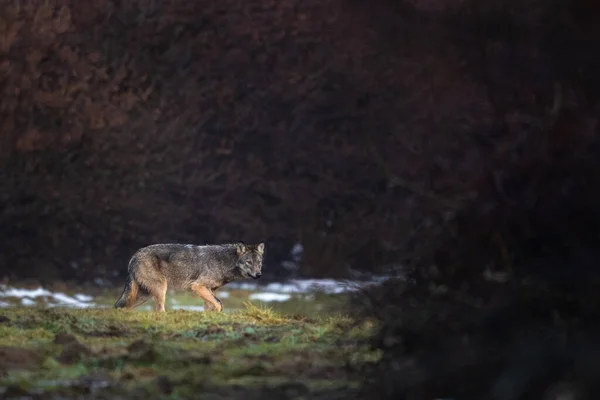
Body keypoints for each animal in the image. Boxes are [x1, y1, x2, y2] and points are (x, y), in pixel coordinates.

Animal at [113, 241, 264, 312]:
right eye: (249, 262)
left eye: (259, 263)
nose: (258, 275)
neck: (224, 262)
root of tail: (134, 256)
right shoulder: (197, 286)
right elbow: (219, 304)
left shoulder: (209, 290)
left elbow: (211, 307)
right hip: (161, 289)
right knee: (159, 310)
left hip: (145, 295)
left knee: (123, 307)